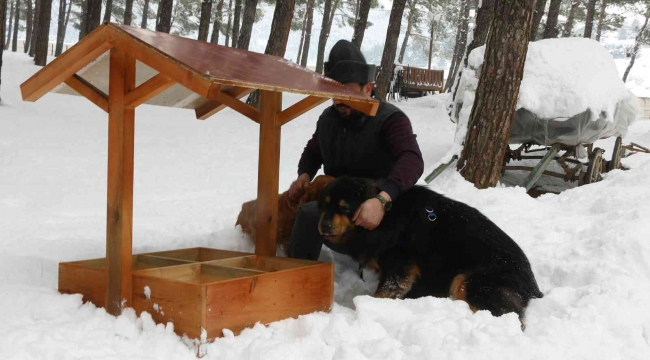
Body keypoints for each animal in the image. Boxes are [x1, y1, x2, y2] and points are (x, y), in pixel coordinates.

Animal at [316, 176, 540, 328]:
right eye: (324, 205)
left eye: (344, 208)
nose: (324, 225)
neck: (386, 217)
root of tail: (532, 283)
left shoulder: (399, 267)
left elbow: (384, 292)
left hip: (469, 281)